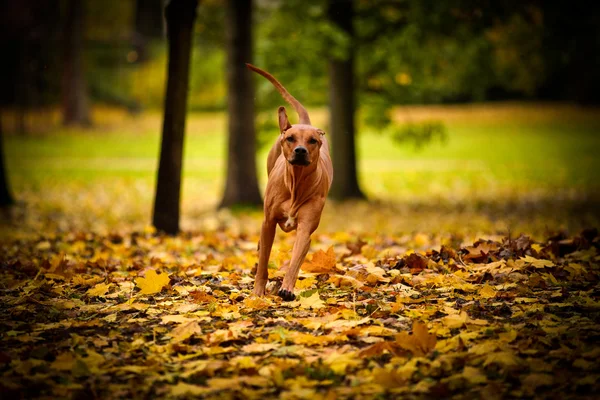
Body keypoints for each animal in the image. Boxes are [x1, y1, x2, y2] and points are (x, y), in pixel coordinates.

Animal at [246, 63, 336, 300]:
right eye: (290, 139)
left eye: (312, 141)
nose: (300, 150)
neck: (296, 183)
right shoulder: (268, 222)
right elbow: (263, 262)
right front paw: (258, 291)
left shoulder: (305, 228)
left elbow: (295, 260)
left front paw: (286, 287)